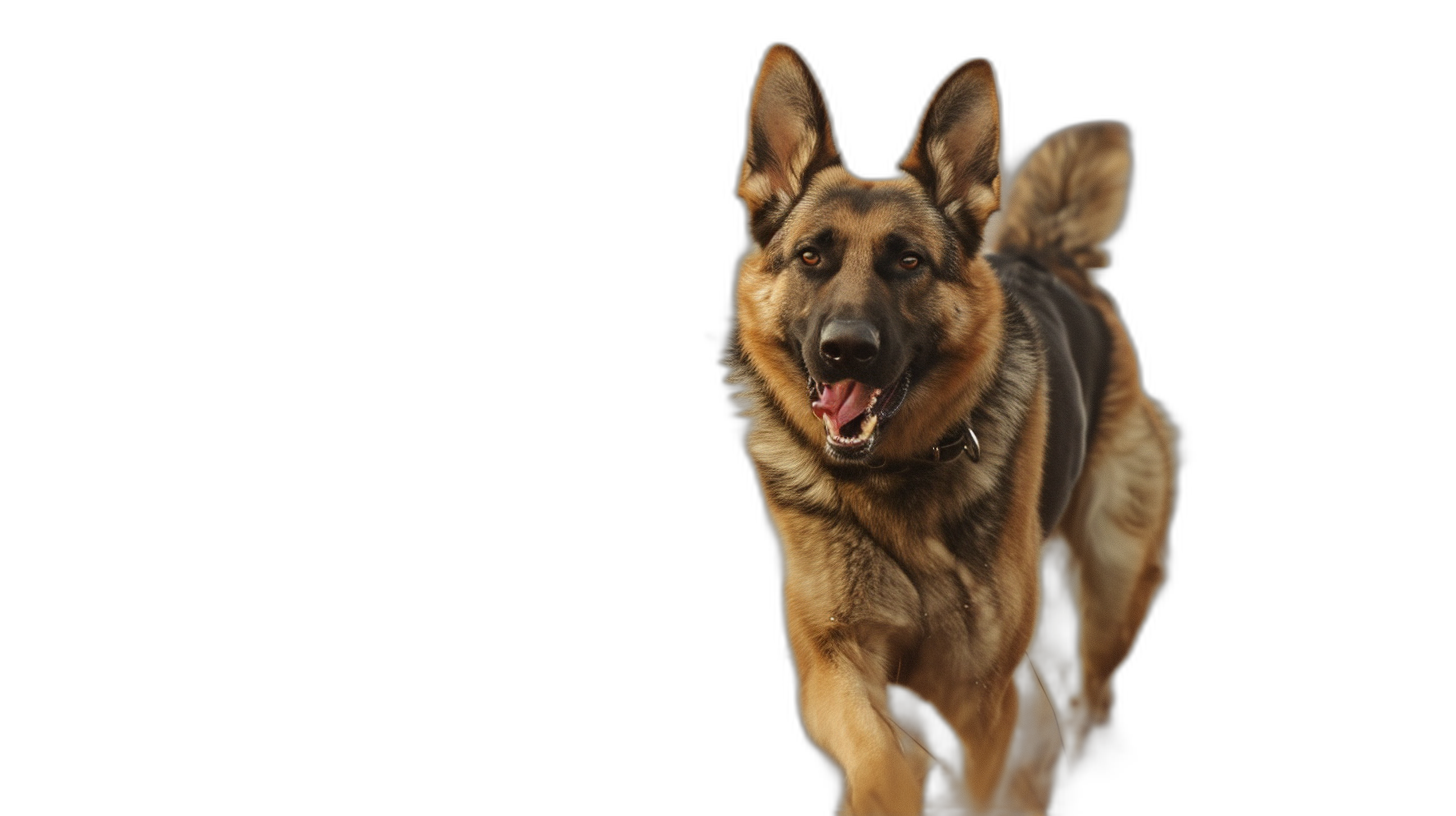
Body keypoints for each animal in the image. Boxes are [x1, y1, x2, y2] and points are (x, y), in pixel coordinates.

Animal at [722, 46, 1176, 816]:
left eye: (909, 261)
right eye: (811, 257)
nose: (846, 350)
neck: (892, 478)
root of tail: (1050, 256)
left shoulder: (984, 699)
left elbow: (973, 776)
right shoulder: (833, 665)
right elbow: (884, 758)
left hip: (1115, 581)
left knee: (1092, 696)